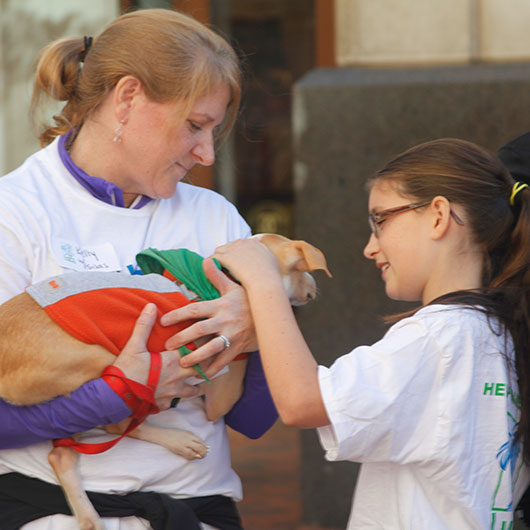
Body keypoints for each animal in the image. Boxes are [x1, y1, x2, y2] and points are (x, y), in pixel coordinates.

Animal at [0, 234, 330, 528]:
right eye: (302, 269)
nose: (315, 288)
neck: (224, 278)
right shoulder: (221, 387)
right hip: (102, 361)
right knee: (118, 424)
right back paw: (180, 441)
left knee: (61, 455)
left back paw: (89, 519)